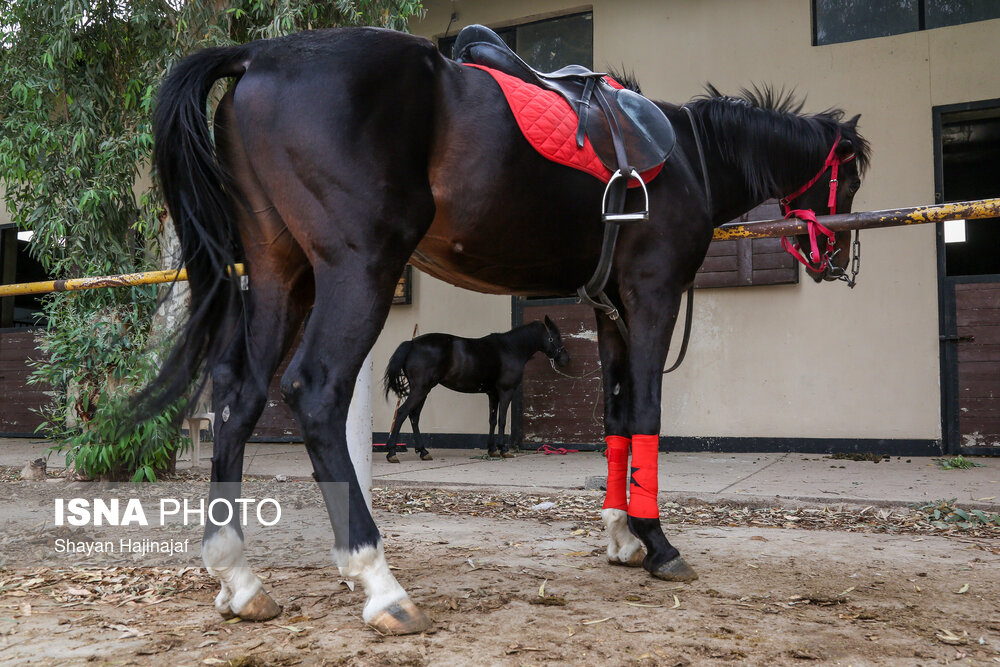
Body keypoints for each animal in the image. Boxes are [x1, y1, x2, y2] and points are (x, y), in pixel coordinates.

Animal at [382, 318, 572, 464]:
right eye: (555, 337)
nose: (565, 359)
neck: (510, 348)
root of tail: (412, 344)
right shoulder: (506, 391)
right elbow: (502, 420)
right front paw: (504, 449)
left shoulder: (493, 394)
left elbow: (492, 420)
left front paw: (492, 449)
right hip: (420, 390)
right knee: (402, 413)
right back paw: (392, 453)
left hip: (423, 390)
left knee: (414, 416)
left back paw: (423, 451)